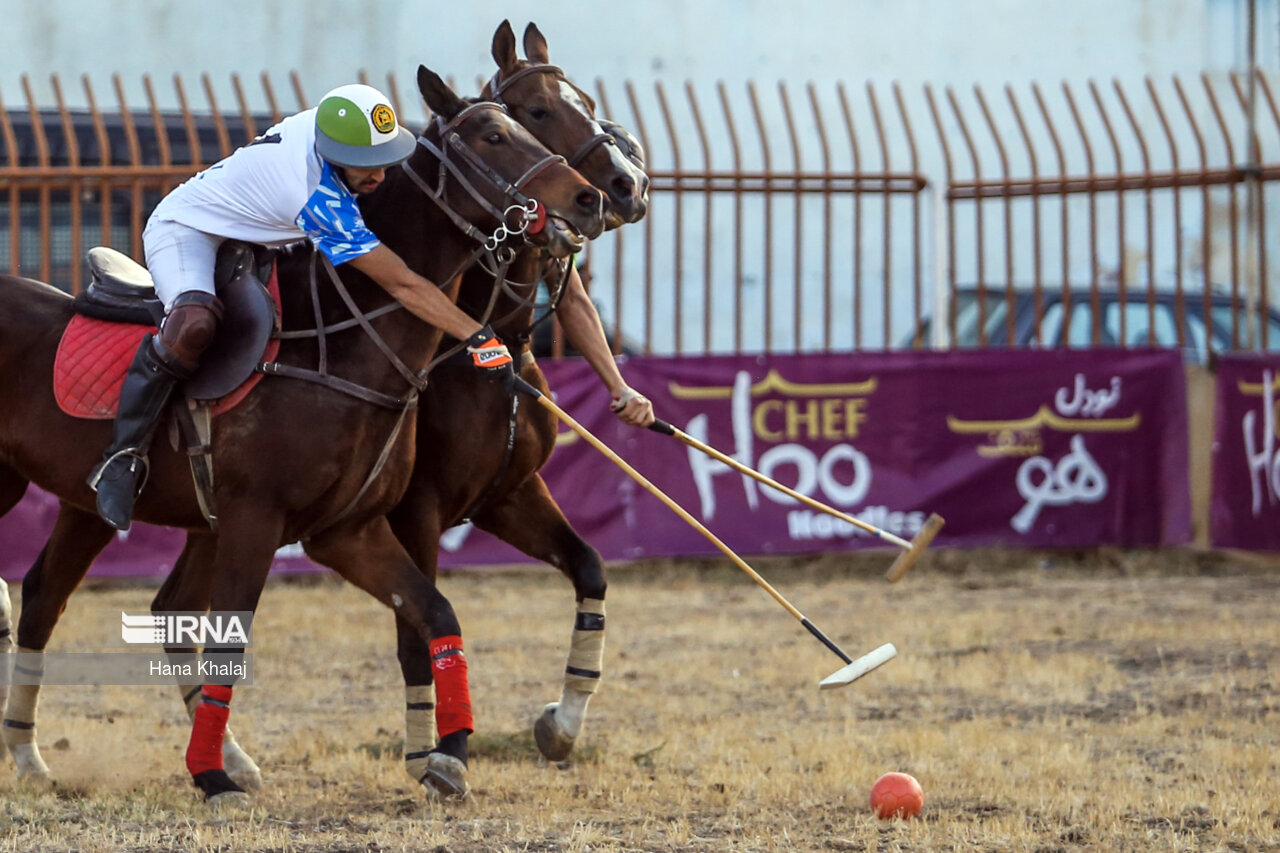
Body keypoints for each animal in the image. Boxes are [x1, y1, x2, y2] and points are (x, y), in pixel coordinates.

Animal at [0, 64, 604, 799]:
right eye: (501, 130)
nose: (594, 196)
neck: (342, 345)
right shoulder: (262, 519)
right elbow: (232, 643)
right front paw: (211, 779)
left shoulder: (349, 529)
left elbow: (435, 612)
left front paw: (449, 756)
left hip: (85, 503)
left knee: (50, 597)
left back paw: (31, 755)